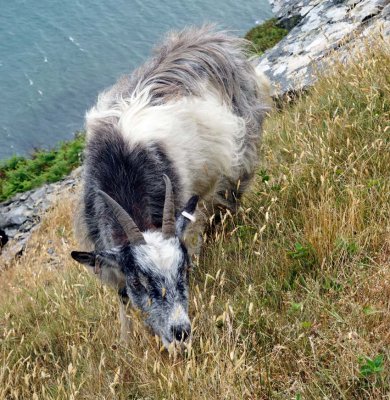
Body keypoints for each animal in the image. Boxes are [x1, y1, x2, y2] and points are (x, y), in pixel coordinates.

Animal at [71, 26, 270, 348]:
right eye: (138, 280)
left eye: (183, 270)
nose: (181, 332)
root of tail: (211, 38)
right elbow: (123, 302)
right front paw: (127, 340)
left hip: (242, 147)